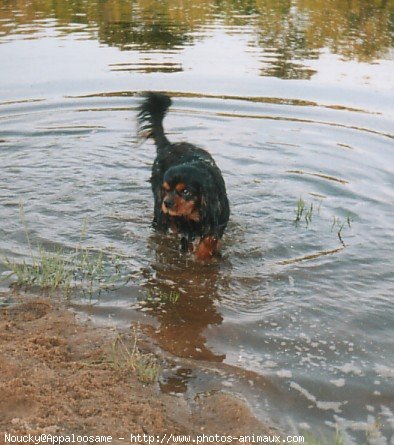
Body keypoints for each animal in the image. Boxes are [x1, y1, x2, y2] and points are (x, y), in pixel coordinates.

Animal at [137, 93, 229, 260]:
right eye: (166, 190)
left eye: (186, 191)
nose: (167, 203)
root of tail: (168, 145)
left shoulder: (218, 219)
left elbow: (210, 239)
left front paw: (203, 254)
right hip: (159, 212)